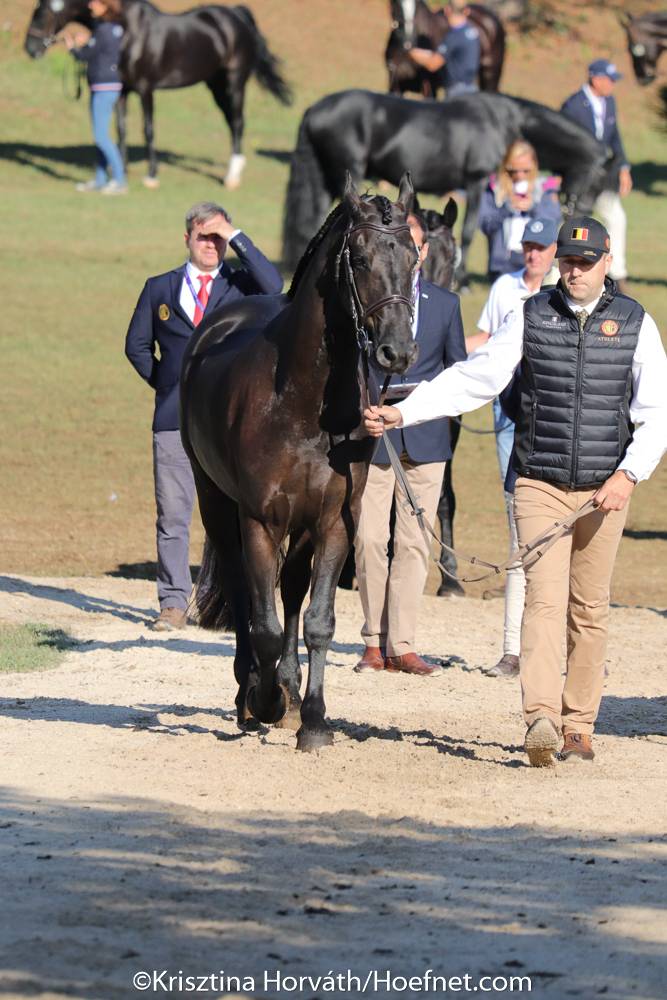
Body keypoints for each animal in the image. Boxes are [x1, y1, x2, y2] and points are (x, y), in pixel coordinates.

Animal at [24, 0, 291, 188]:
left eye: (43, 12)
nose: (30, 48)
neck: (128, 29)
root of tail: (236, 14)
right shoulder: (122, 91)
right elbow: (121, 129)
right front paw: (122, 171)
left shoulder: (145, 89)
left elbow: (148, 129)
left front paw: (151, 176)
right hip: (215, 85)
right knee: (231, 122)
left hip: (233, 83)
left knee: (237, 123)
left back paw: (231, 177)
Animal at [180, 175, 419, 752]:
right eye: (359, 258)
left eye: (414, 257)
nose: (396, 352)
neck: (304, 402)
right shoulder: (260, 520)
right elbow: (264, 624)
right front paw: (264, 701)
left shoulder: (334, 522)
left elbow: (317, 620)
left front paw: (312, 719)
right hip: (216, 503)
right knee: (244, 592)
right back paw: (249, 694)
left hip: (303, 525)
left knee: (289, 588)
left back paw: (286, 688)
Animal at [281, 89, 610, 285]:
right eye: (597, 181)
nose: (579, 214)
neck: (502, 118)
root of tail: (315, 110)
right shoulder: (477, 181)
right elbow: (468, 232)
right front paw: (462, 280)